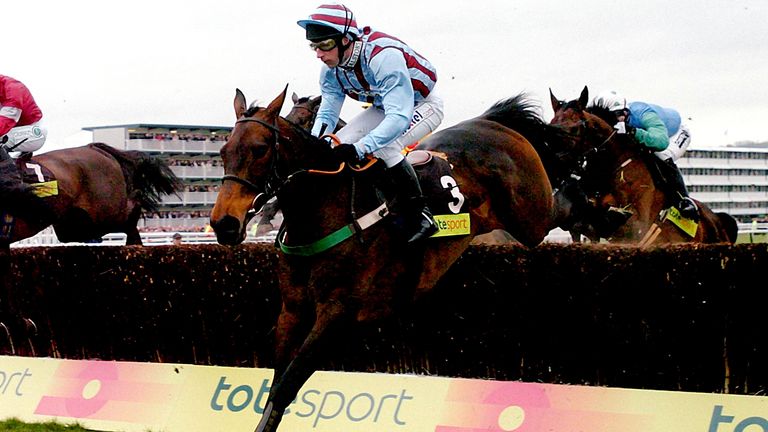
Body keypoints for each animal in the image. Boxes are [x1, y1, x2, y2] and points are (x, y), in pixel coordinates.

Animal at [0, 143, 182, 352]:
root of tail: (93, 147)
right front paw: (18, 324)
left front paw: (19, 324)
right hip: (73, 226)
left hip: (105, 211)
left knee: (132, 209)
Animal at [210, 85, 564, 432]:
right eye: (223, 151)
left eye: (259, 149)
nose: (224, 223)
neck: (326, 206)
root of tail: (492, 123)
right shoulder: (292, 309)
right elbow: (276, 387)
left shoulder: (338, 312)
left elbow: (286, 386)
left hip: (534, 217)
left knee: (558, 212)